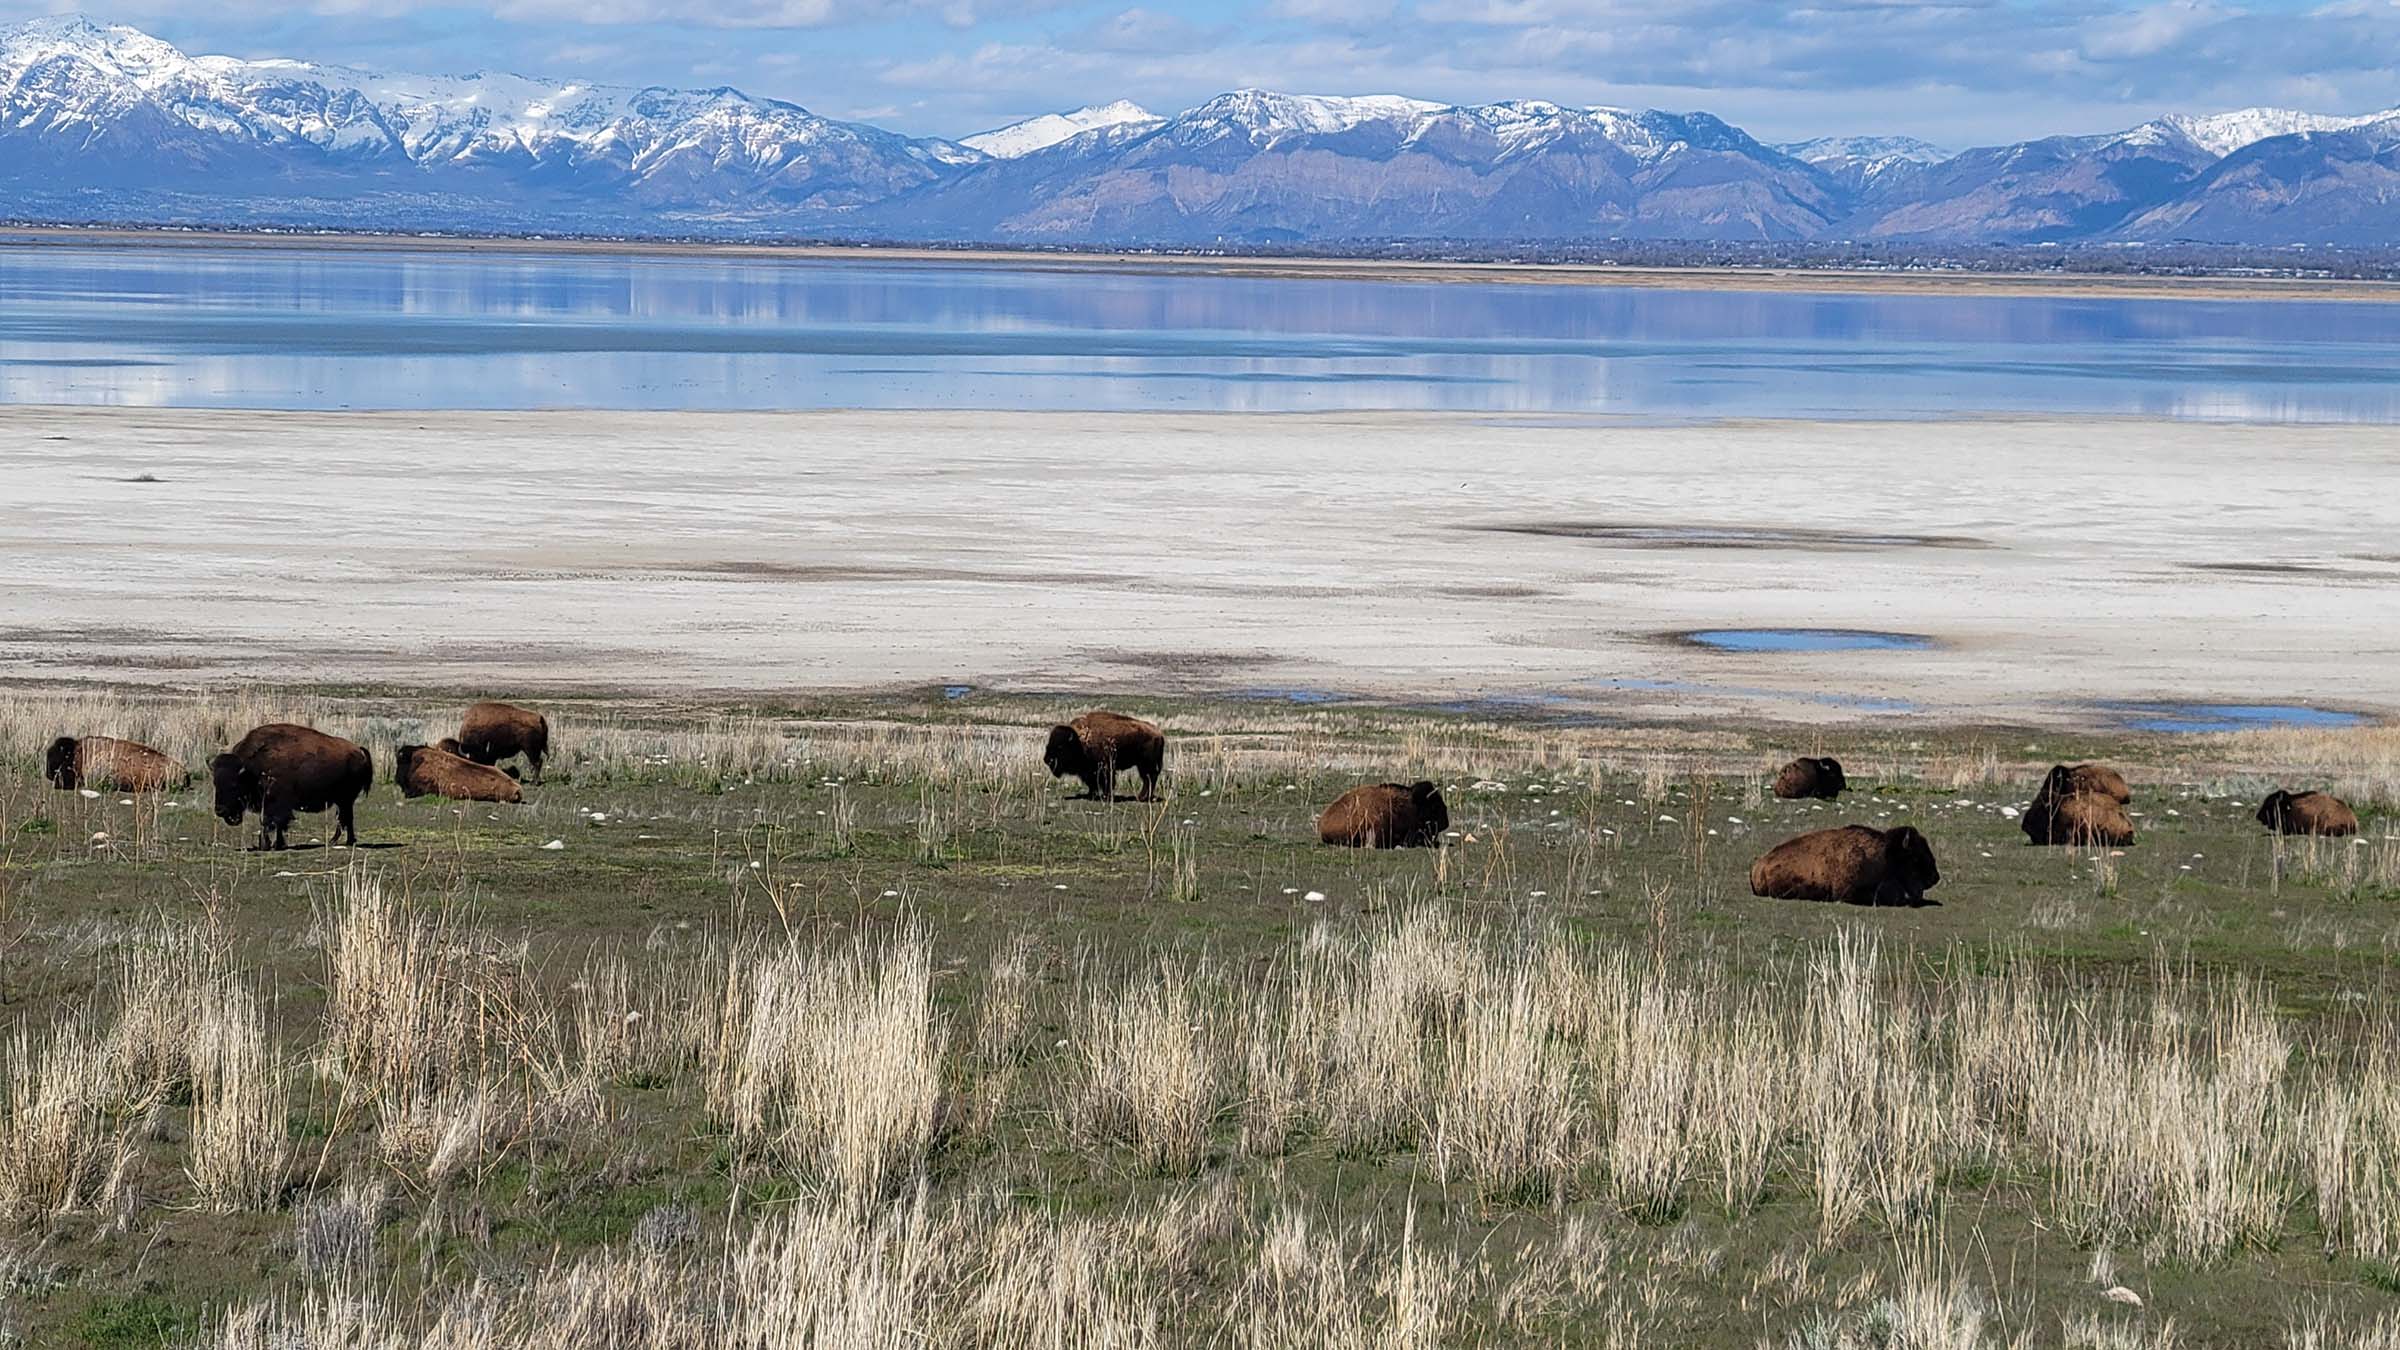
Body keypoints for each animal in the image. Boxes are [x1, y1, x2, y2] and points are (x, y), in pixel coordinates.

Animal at [210, 724, 372, 850]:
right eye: (215, 783)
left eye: (234, 784)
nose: (220, 810)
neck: (251, 769)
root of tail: (359, 750)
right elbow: (275, 824)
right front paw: (275, 844)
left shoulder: (275, 805)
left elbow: (270, 822)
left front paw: (268, 845)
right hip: (342, 800)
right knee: (345, 818)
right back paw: (341, 841)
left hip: (345, 799)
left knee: (345, 818)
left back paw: (340, 841)